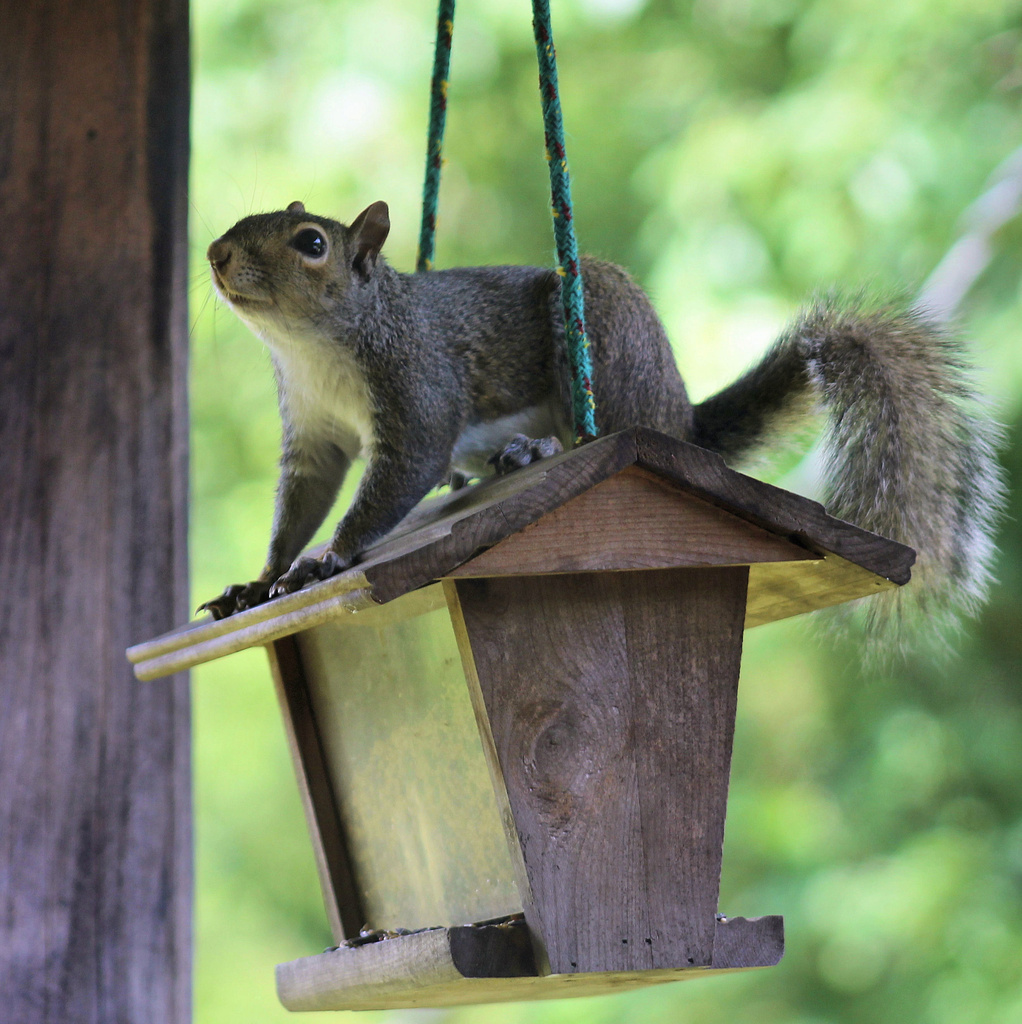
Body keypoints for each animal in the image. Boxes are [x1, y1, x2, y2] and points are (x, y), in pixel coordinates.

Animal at [197, 195, 999, 634]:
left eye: (311, 243)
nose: (215, 252)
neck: (312, 351)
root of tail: (682, 419)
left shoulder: (418, 382)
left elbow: (403, 471)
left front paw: (327, 558)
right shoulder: (313, 432)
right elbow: (300, 501)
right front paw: (259, 580)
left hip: (608, 336)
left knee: (609, 428)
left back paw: (539, 451)